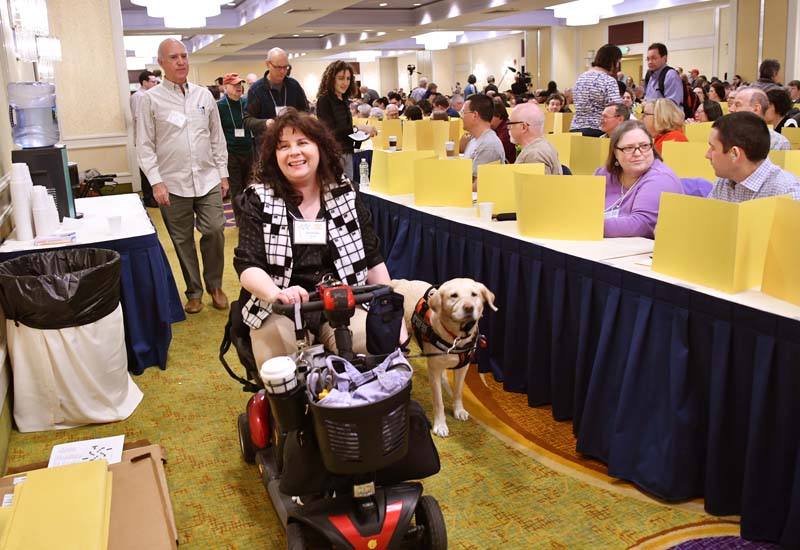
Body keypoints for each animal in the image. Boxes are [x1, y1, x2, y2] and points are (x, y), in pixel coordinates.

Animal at [390, 280, 496, 440]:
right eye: (454, 295)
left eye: (474, 294)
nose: (469, 307)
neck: (456, 338)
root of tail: (398, 282)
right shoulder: (434, 370)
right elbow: (438, 401)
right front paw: (440, 425)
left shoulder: (463, 367)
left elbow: (458, 391)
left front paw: (458, 410)